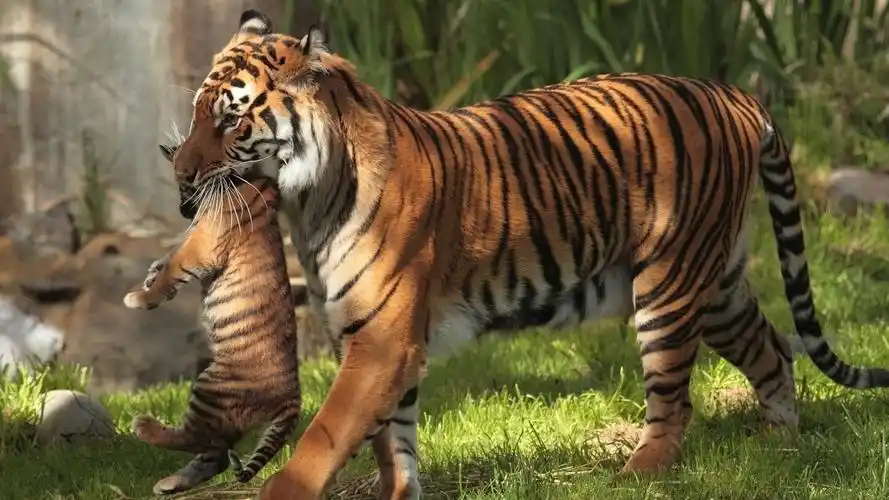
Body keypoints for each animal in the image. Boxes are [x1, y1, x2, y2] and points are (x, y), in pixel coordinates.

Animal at [122, 142, 301, 495]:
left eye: (184, 182)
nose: (182, 212)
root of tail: (293, 397)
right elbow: (166, 262)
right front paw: (150, 275)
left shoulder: (200, 248)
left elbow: (172, 270)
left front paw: (140, 298)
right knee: (214, 455)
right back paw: (169, 483)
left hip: (213, 387)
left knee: (195, 438)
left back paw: (144, 427)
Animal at [159, 9, 889, 500]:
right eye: (196, 114)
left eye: (229, 119)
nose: (181, 174)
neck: (307, 202)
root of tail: (733, 91)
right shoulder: (381, 338)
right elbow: (392, 438)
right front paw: (399, 491)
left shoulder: (383, 335)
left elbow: (329, 434)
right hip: (716, 281)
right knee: (772, 347)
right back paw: (779, 444)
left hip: (669, 283)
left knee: (674, 399)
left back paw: (638, 472)